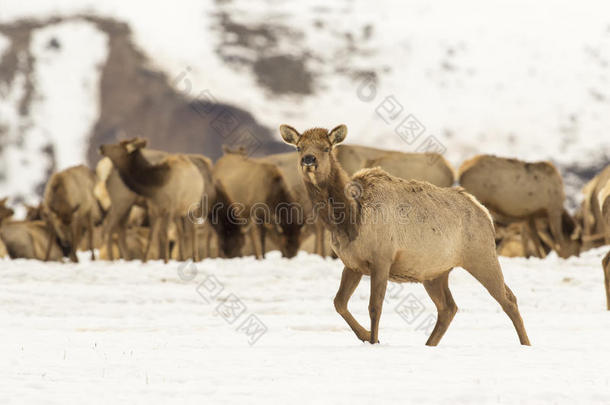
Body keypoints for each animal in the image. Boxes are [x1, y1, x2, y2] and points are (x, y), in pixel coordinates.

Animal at [280, 124, 528, 346]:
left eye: (326, 147)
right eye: (299, 147)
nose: (308, 160)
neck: (350, 221)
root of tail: (485, 213)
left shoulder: (382, 258)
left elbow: (374, 306)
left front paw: (374, 340)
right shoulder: (352, 264)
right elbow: (339, 302)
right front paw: (364, 336)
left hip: (481, 255)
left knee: (508, 299)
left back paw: (525, 343)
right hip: (436, 273)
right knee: (448, 307)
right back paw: (429, 343)